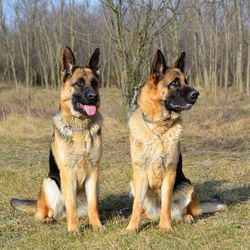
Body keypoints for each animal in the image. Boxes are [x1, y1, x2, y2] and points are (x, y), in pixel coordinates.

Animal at [10, 45, 102, 232]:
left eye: (94, 83)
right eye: (79, 83)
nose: (94, 97)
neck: (80, 128)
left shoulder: (93, 173)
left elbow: (93, 205)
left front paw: (97, 225)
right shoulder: (67, 174)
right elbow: (71, 204)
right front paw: (73, 229)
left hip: (97, 185)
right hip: (49, 183)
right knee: (48, 213)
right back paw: (49, 219)